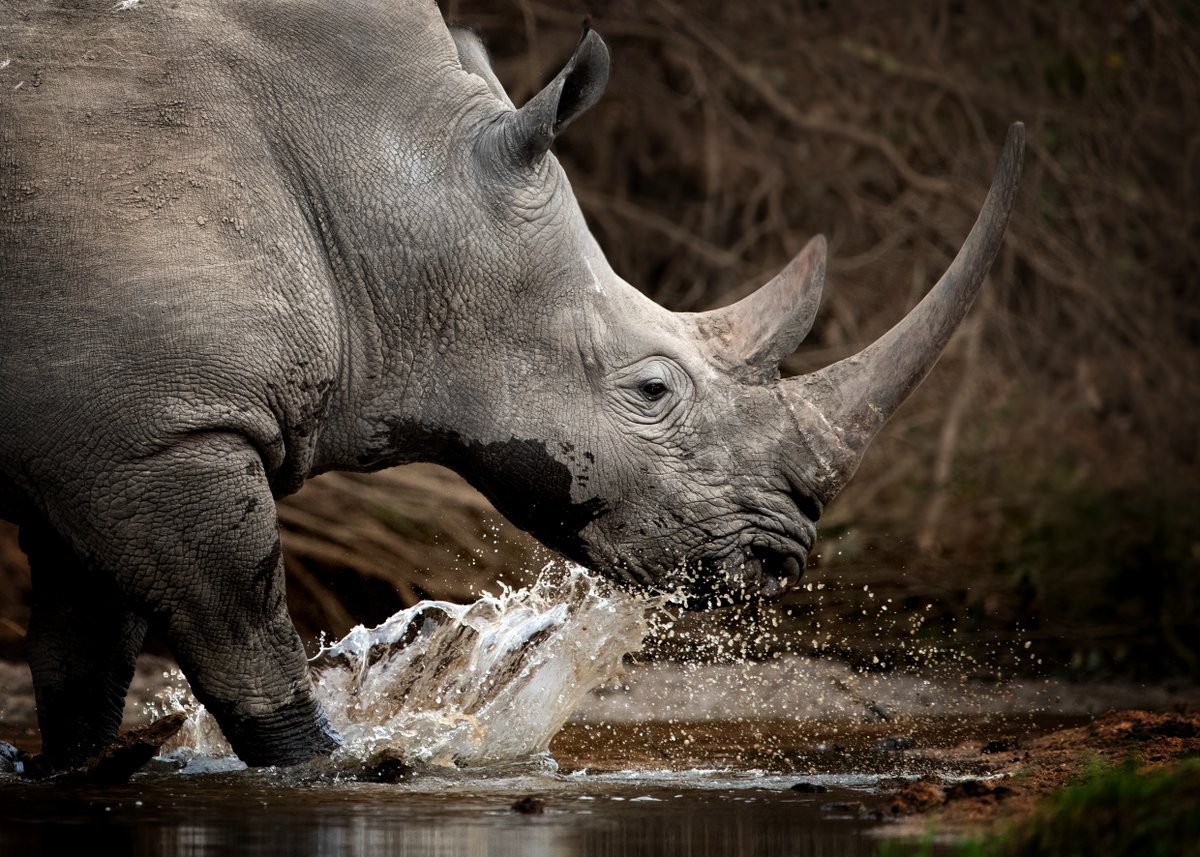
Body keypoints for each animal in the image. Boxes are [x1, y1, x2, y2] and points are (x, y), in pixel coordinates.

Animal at [0, 0, 1022, 769]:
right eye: (653, 390)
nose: (781, 558)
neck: (381, 186)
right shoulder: (164, 433)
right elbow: (245, 643)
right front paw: (337, 766)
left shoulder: (106, 434)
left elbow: (83, 663)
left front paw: (68, 771)